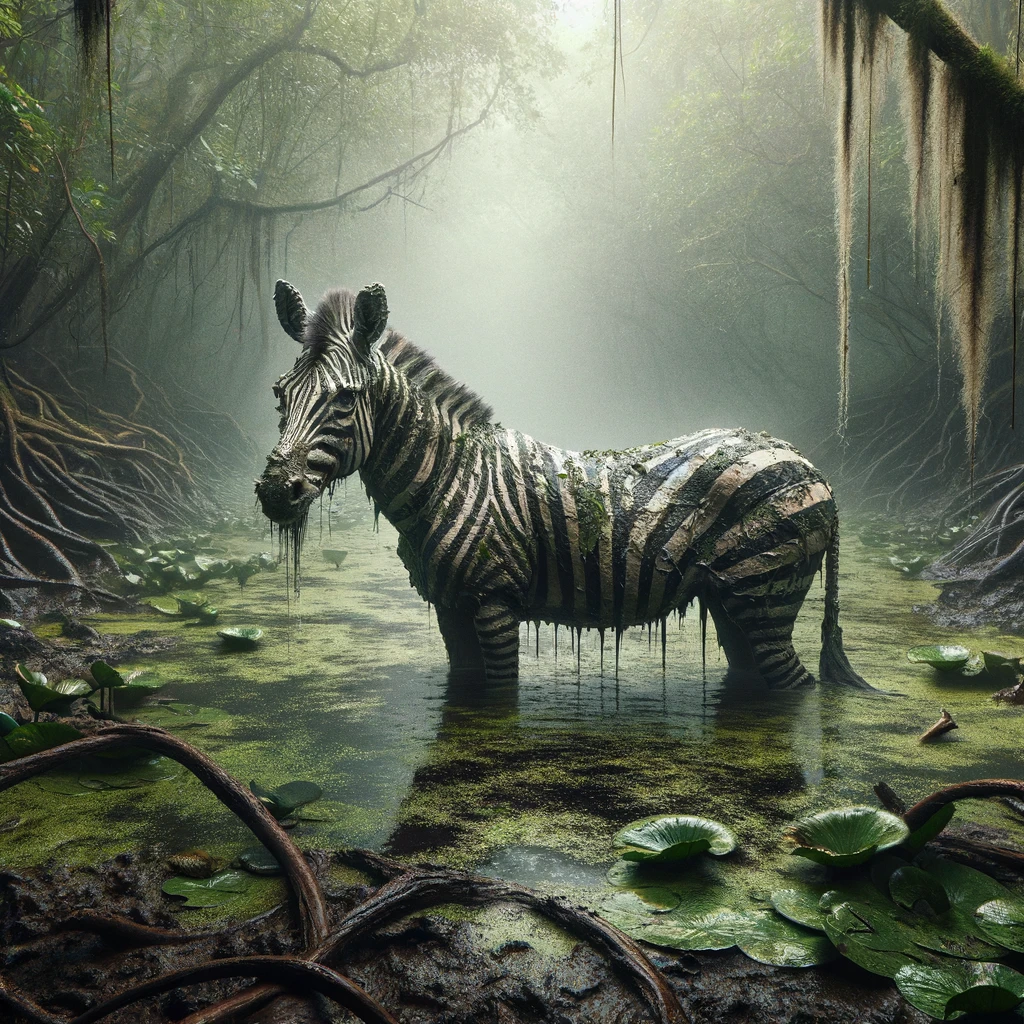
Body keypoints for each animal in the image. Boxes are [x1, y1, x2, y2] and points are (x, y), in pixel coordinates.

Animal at [256, 281, 871, 690]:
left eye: (345, 399)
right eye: (280, 393)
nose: (275, 490)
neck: (448, 476)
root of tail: (812, 467)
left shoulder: (494, 600)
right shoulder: (452, 609)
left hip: (764, 592)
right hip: (732, 603)